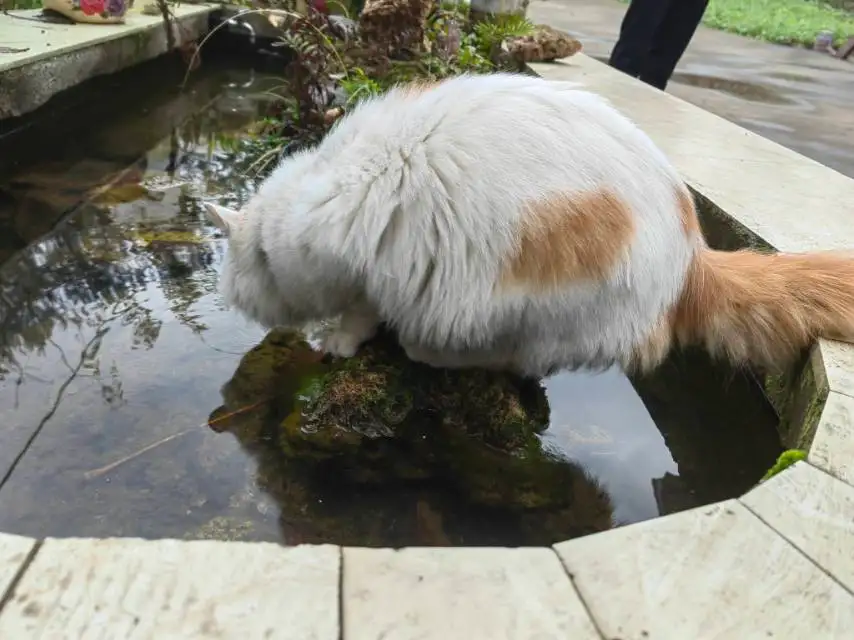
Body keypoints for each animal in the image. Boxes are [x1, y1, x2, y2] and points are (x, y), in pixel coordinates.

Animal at [204, 72, 854, 378]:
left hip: (530, 309)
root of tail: (693, 255)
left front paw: (337, 341)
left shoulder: (366, 270)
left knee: (513, 362)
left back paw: (427, 350)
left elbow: (359, 313)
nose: (227, 298)